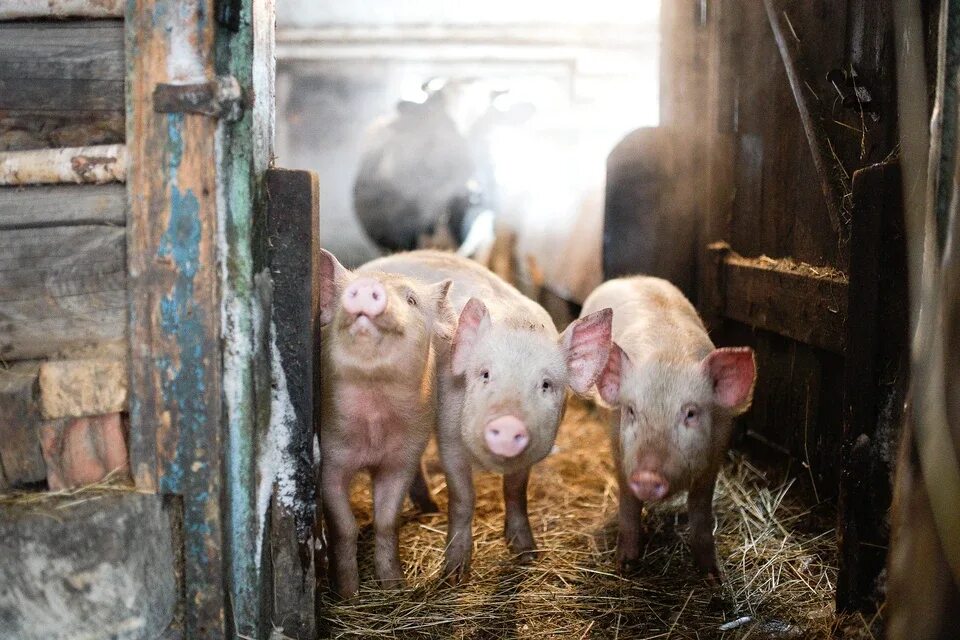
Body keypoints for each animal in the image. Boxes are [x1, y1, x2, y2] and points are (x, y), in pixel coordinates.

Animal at [316, 250, 456, 600]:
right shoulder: (329, 460)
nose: (368, 287)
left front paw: (395, 587)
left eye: (412, 300)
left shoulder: (402, 459)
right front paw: (348, 594)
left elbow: (386, 522)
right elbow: (344, 526)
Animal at [364, 251, 612, 584]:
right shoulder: (449, 437)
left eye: (546, 384)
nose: (507, 424)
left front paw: (527, 554)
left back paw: (430, 509)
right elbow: (463, 498)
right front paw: (454, 575)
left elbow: (516, 492)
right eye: (485, 374)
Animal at [576, 278, 756, 576]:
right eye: (631, 410)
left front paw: (712, 575)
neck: (668, 355)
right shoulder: (619, 447)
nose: (648, 476)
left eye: (691, 413)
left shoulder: (716, 451)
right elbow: (628, 502)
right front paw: (624, 565)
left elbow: (701, 511)